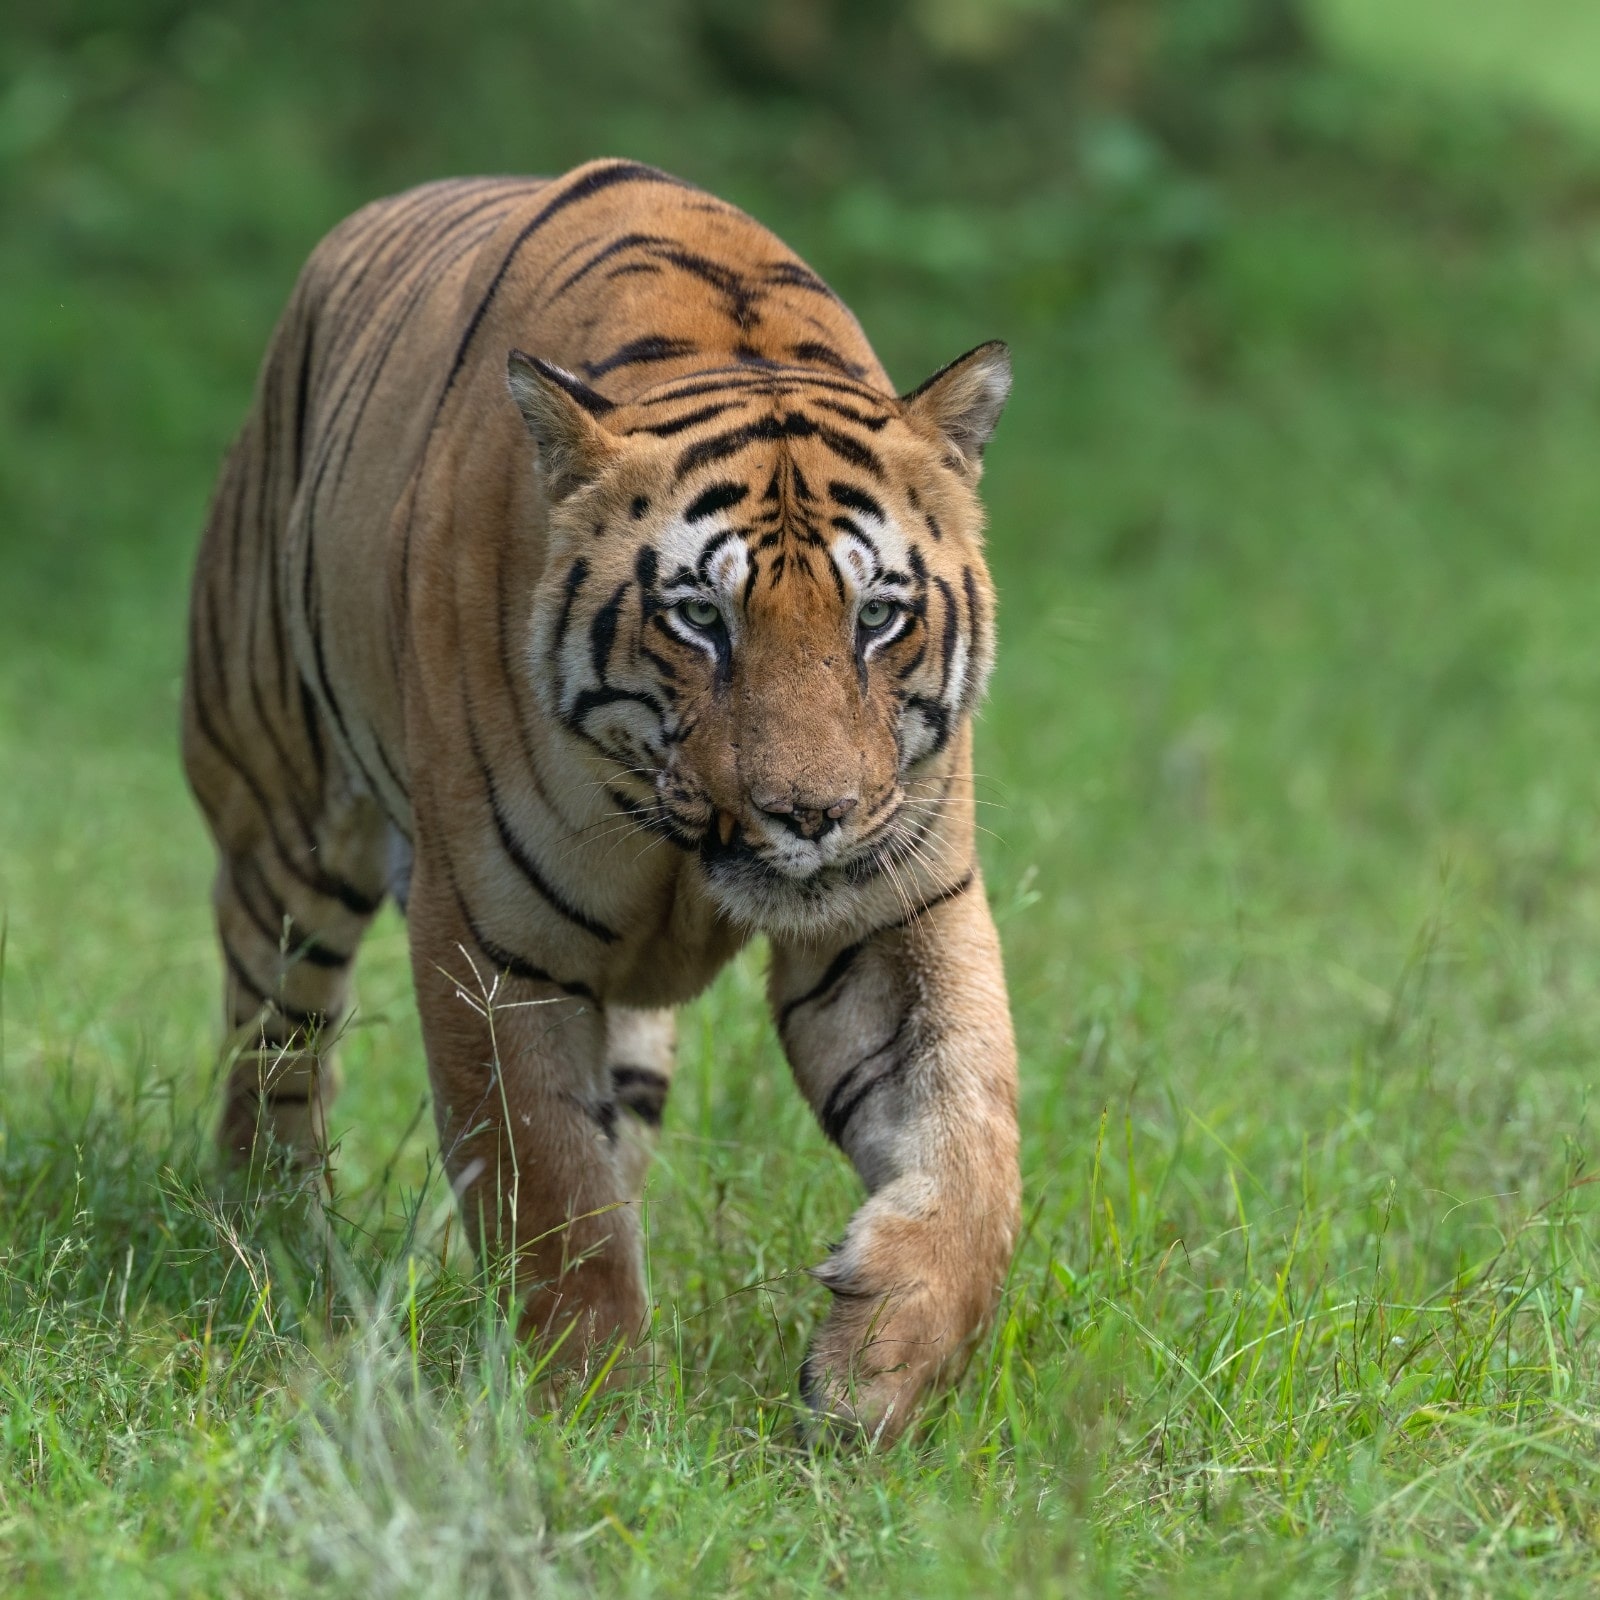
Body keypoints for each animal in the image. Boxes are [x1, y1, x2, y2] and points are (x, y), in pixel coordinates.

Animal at [182, 158, 1020, 1443]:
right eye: (699, 618)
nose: (809, 814)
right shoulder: (492, 940)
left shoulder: (894, 903)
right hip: (282, 817)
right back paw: (277, 1239)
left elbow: (973, 1133)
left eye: (878, 615)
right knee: (273, 1049)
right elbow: (548, 1187)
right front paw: (592, 1416)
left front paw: (879, 1364)